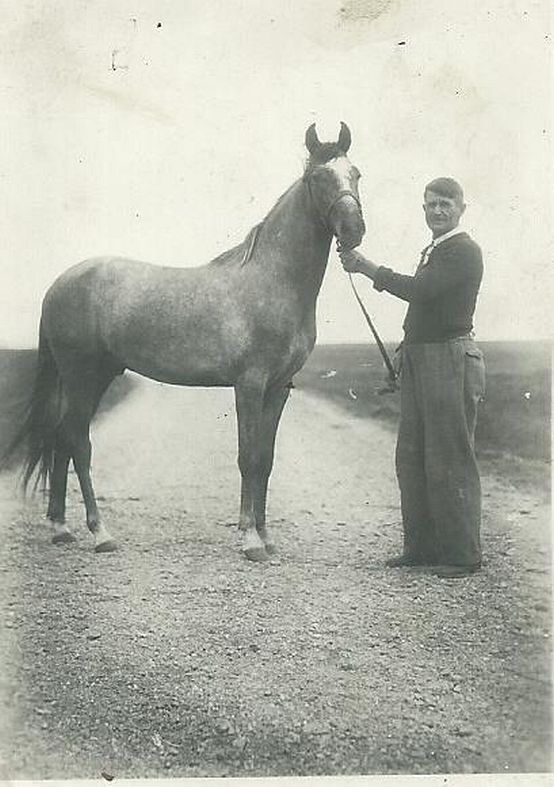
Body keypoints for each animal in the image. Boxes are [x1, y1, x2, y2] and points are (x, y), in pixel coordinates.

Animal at [5, 122, 365, 562]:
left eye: (356, 174)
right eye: (318, 178)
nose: (354, 231)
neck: (273, 280)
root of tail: (60, 282)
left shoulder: (279, 388)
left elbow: (265, 460)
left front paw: (265, 537)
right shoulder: (249, 384)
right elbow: (248, 458)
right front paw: (249, 539)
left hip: (100, 374)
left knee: (63, 436)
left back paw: (61, 527)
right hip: (80, 374)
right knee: (77, 439)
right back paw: (101, 533)